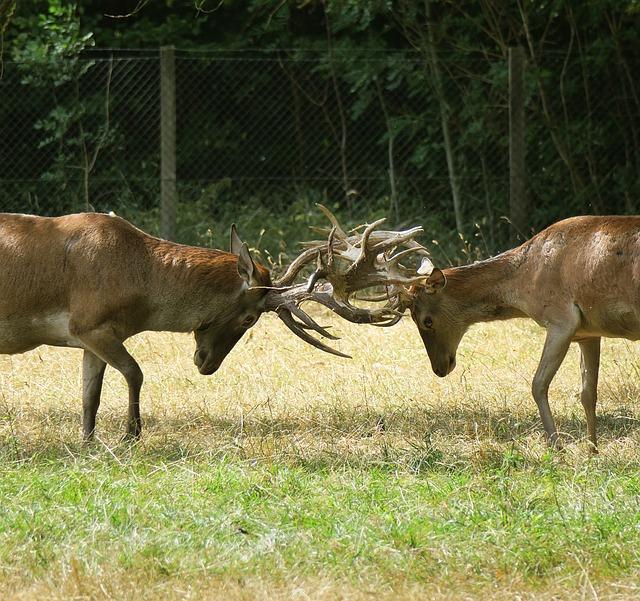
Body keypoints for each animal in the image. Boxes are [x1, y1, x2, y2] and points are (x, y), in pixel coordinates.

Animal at [2, 209, 428, 438]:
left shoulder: (91, 335)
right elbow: (136, 372)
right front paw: (131, 434)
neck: (137, 289)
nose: (206, 364)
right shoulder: (88, 323)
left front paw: (90, 442)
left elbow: (90, 397)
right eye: (249, 316)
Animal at [382, 216, 640, 450]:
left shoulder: (561, 319)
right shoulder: (588, 332)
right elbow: (588, 393)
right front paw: (592, 451)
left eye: (426, 321)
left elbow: (538, 384)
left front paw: (557, 447)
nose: (439, 368)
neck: (524, 285)